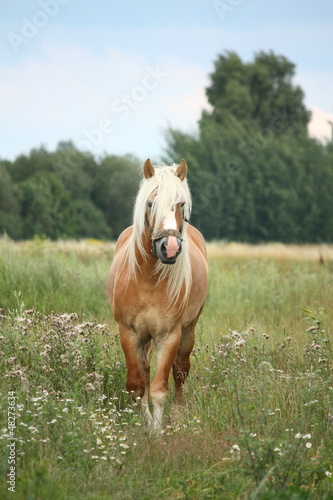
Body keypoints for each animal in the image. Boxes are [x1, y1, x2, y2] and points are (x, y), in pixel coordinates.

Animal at [107, 158, 208, 432]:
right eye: (150, 203)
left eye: (180, 204)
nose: (169, 248)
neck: (148, 279)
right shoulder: (129, 333)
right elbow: (136, 384)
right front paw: (142, 424)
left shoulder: (168, 336)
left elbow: (160, 389)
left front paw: (156, 431)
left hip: (188, 329)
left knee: (181, 370)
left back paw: (178, 415)